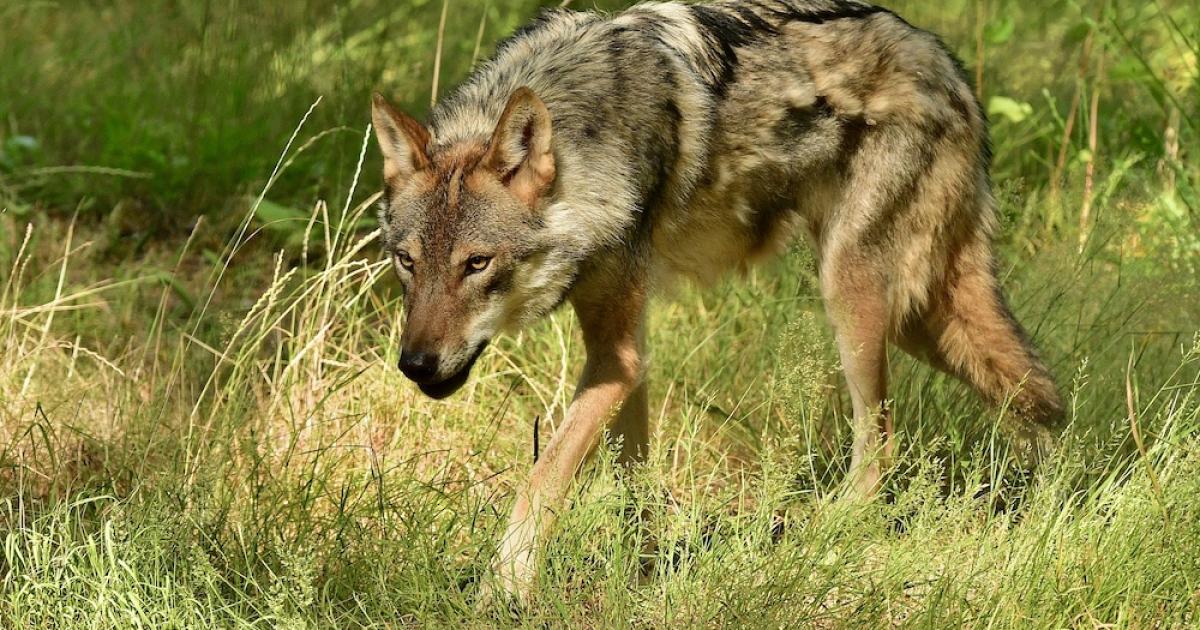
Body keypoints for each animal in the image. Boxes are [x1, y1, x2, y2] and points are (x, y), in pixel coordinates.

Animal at [370, 0, 1063, 601]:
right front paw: (640, 571)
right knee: (1037, 394)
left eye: (476, 264)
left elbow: (542, 479)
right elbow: (631, 479)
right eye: (407, 262)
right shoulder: (624, 354)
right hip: (922, 318)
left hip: (855, 298)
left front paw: (505, 589)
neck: (585, 142)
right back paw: (1049, 496)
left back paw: (825, 537)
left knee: (885, 448)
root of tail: (949, 66)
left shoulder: (617, 355)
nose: (415, 365)